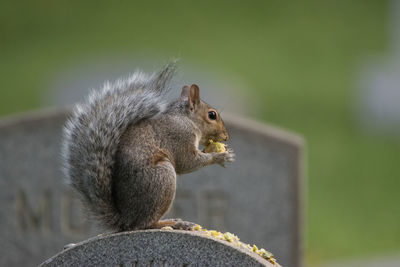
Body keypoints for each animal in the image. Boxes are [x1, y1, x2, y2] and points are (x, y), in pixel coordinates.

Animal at [61, 61, 234, 231]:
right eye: (212, 115)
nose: (226, 136)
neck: (185, 119)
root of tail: (127, 219)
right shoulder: (180, 137)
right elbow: (187, 162)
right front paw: (220, 156)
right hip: (162, 178)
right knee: (145, 224)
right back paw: (173, 223)